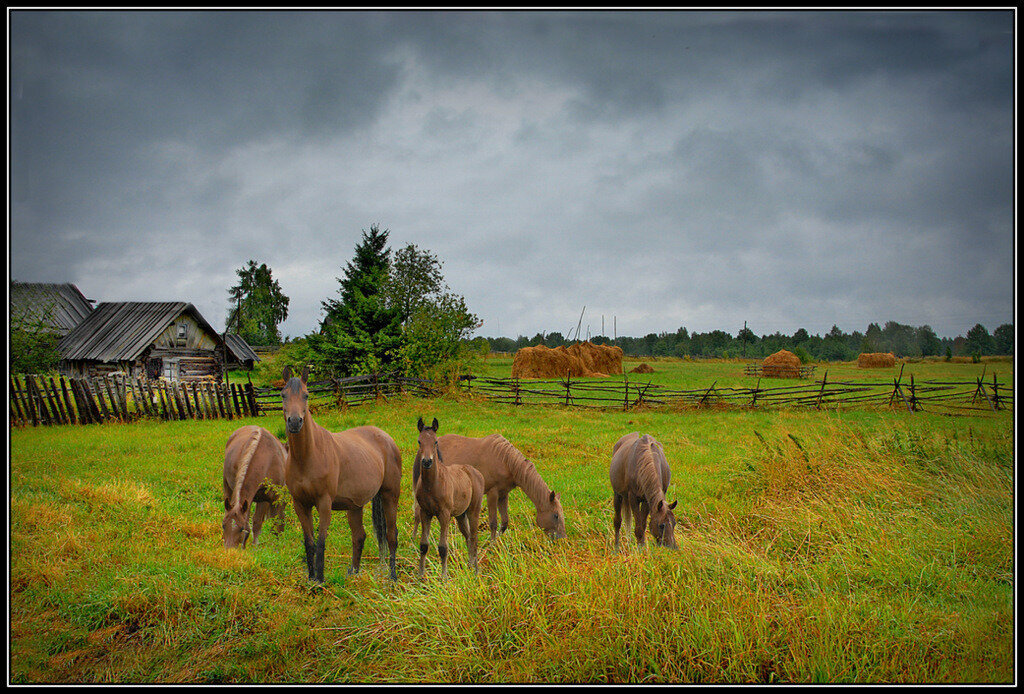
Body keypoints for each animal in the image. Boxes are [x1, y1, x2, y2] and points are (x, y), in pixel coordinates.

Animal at [284, 366, 407, 585]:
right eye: (283, 395)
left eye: (306, 395)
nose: (295, 422)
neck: (308, 456)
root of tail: (386, 438)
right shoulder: (300, 504)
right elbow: (309, 542)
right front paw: (311, 579)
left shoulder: (324, 503)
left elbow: (321, 542)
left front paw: (320, 581)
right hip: (355, 505)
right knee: (359, 536)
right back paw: (353, 572)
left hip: (390, 495)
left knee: (392, 535)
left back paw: (392, 576)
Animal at [409, 429, 569, 544]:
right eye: (556, 515)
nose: (562, 539)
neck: (507, 462)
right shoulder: (493, 493)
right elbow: (493, 522)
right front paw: (492, 544)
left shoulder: (504, 494)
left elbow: (504, 522)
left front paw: (498, 541)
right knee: (417, 512)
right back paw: (414, 540)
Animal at [411, 419, 483, 581]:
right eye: (419, 441)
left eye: (436, 441)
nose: (426, 462)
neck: (432, 485)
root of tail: (476, 472)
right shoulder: (425, 513)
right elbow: (423, 545)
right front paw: (420, 576)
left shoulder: (444, 515)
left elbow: (443, 547)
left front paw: (444, 577)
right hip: (460, 515)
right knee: (468, 537)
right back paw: (470, 566)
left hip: (473, 511)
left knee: (474, 538)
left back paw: (476, 571)